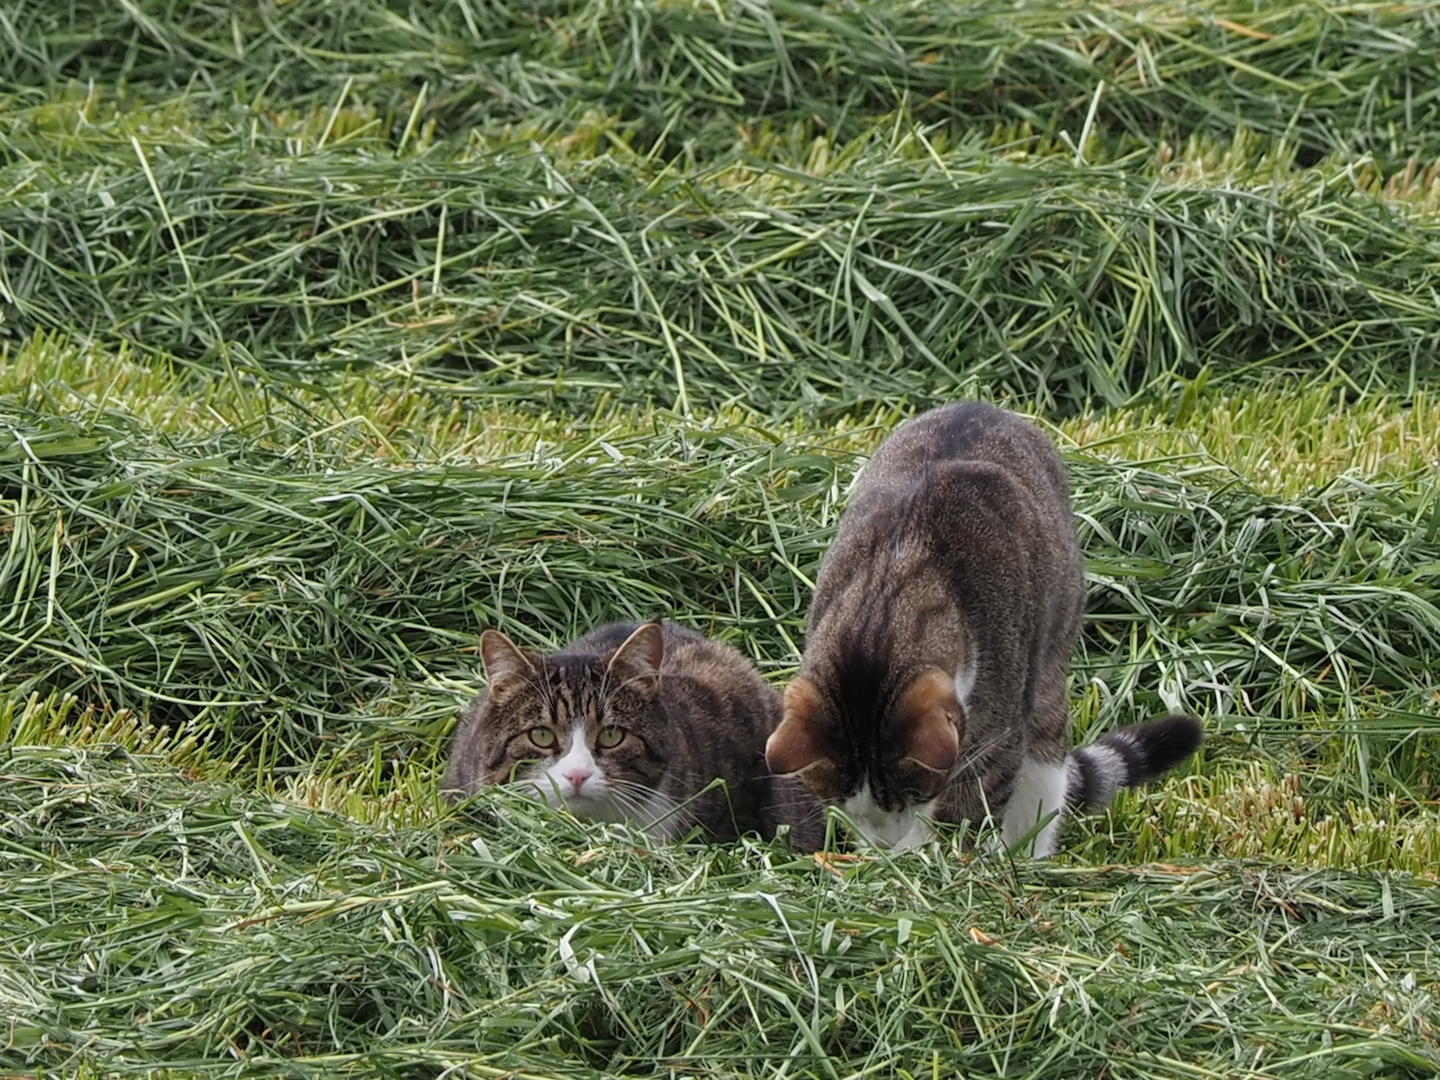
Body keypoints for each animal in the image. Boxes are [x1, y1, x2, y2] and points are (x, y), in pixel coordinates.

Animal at [766, 403, 1203, 858]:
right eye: (846, 806)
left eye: (911, 798)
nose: (886, 843)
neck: (885, 599)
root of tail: (981, 405)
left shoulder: (995, 736)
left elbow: (965, 807)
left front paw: (921, 859)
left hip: (1046, 682)